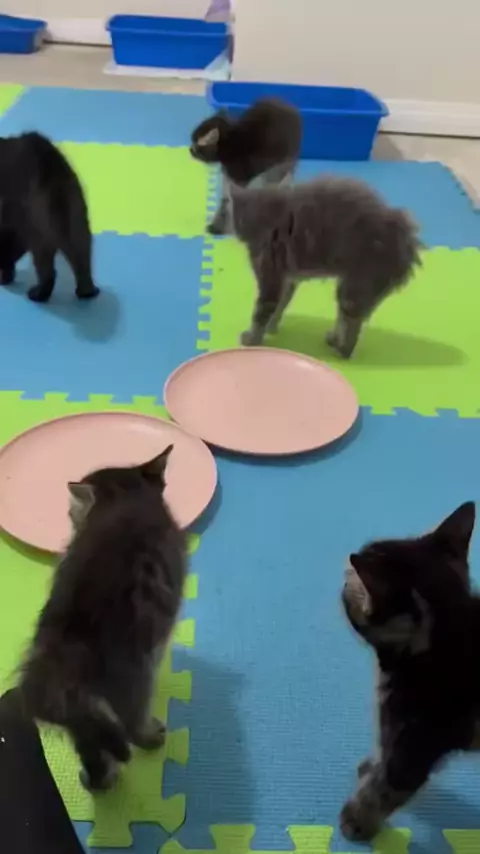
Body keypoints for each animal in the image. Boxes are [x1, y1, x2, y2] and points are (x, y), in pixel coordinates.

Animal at [0, 131, 99, 302]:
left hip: (38, 220)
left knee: (45, 264)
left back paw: (38, 293)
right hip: (75, 211)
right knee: (81, 251)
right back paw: (87, 291)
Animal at [18, 445, 186, 791]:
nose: (70, 519)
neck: (127, 499)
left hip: (82, 713)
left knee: (90, 745)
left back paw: (98, 780)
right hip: (136, 671)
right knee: (132, 723)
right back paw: (150, 736)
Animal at [190, 98, 301, 235]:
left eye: (195, 146)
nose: (189, 149)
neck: (231, 143)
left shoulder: (239, 177)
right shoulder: (229, 176)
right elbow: (226, 199)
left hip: (283, 161)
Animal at [226, 176, 421, 358]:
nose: (216, 226)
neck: (266, 217)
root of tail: (407, 240)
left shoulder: (271, 276)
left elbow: (261, 311)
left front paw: (252, 339)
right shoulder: (288, 279)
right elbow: (280, 305)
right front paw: (271, 328)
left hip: (355, 287)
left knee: (351, 326)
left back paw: (341, 350)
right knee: (346, 320)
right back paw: (333, 339)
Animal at [340, 501, 478, 841]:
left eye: (347, 583)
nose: (342, 579)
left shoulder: (414, 740)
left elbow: (382, 790)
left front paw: (354, 823)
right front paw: (369, 766)